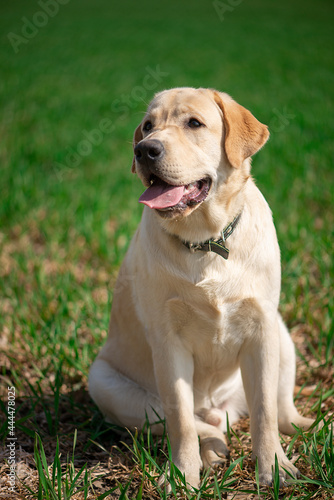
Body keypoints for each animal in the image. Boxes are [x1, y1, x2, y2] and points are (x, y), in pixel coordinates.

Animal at [88, 87, 314, 488]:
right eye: (148, 126)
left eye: (194, 123)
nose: (144, 150)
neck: (206, 241)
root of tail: (218, 409)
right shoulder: (168, 342)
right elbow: (180, 419)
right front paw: (182, 475)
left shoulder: (261, 329)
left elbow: (264, 411)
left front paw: (275, 468)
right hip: (104, 382)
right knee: (195, 424)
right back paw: (211, 450)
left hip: (282, 335)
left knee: (282, 409)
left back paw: (305, 424)